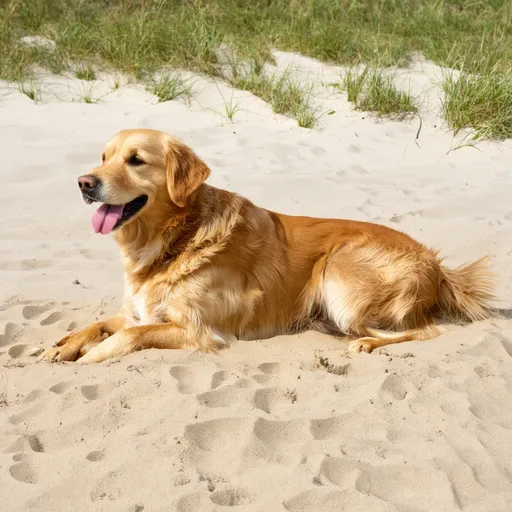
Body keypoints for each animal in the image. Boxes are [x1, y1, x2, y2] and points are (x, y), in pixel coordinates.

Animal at [44, 129, 496, 364]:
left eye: (136, 160)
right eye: (104, 157)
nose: (84, 183)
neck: (175, 239)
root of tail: (437, 265)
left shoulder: (198, 330)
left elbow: (125, 338)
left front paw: (87, 357)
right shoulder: (138, 311)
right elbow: (100, 325)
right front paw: (61, 345)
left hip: (340, 275)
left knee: (426, 330)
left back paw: (368, 343)